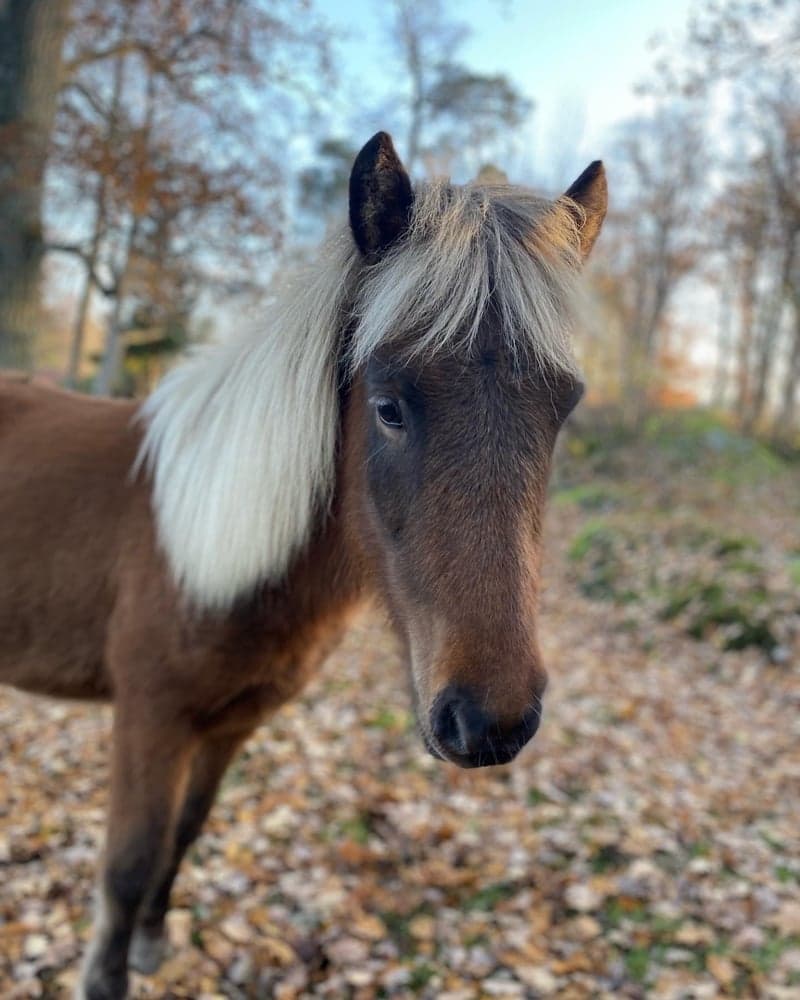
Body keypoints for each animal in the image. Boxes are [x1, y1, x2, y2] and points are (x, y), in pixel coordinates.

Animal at [0, 133, 608, 1000]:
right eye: (388, 406)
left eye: (563, 411)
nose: (492, 723)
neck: (217, 543)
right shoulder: (149, 718)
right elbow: (128, 864)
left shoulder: (234, 722)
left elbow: (187, 830)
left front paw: (152, 942)